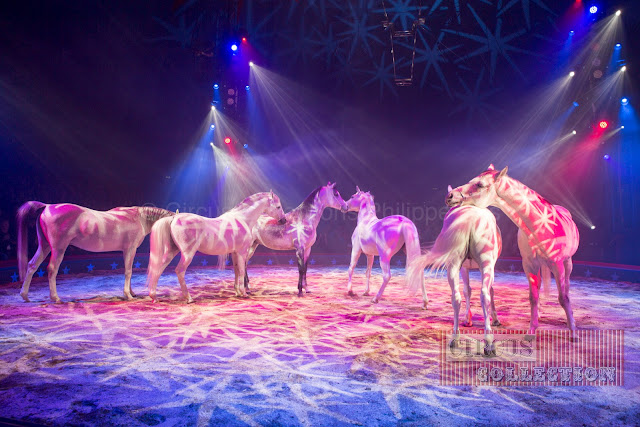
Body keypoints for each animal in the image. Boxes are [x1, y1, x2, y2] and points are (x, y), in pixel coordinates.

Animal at [18, 202, 176, 302]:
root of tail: (47, 206)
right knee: (52, 269)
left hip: (44, 246)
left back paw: (25, 295)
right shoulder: (130, 249)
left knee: (32, 265)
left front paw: (131, 292)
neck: (139, 218)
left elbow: (128, 270)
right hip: (58, 248)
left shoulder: (126, 250)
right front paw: (128, 295)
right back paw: (55, 297)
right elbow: (129, 271)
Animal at [148, 191, 284, 304]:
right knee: (179, 271)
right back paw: (189, 298)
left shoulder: (234, 253)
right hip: (187, 254)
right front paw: (243, 292)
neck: (242, 219)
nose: (283, 220)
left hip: (171, 251)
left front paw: (237, 292)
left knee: (158, 268)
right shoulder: (241, 252)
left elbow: (236, 270)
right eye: (278, 206)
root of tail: (174, 217)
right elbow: (241, 271)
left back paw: (154, 297)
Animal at [410, 190, 504, 348]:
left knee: (456, 297)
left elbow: (467, 291)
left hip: (454, 265)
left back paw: (455, 337)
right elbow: (481, 290)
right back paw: (488, 340)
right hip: (485, 264)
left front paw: (468, 319)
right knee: (484, 294)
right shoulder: (484, 266)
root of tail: (470, 217)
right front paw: (492, 319)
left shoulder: (464, 267)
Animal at [444, 166, 580, 336]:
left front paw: (573, 331)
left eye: (480, 185)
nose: (450, 196)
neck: (541, 227)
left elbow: (564, 297)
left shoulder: (558, 264)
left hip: (567, 263)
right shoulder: (529, 265)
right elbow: (533, 297)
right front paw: (531, 331)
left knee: (566, 287)